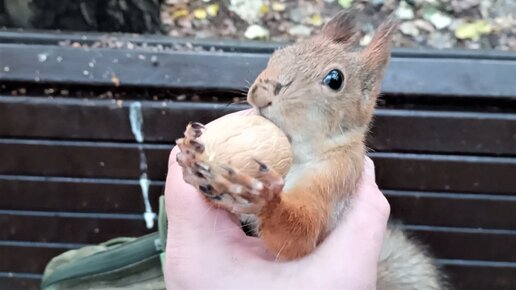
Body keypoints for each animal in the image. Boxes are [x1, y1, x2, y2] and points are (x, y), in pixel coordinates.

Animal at [175, 9, 446, 290]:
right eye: (279, 53)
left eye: (335, 79)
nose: (259, 95)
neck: (297, 154)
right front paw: (189, 158)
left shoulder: (336, 176)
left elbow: (300, 236)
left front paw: (265, 198)